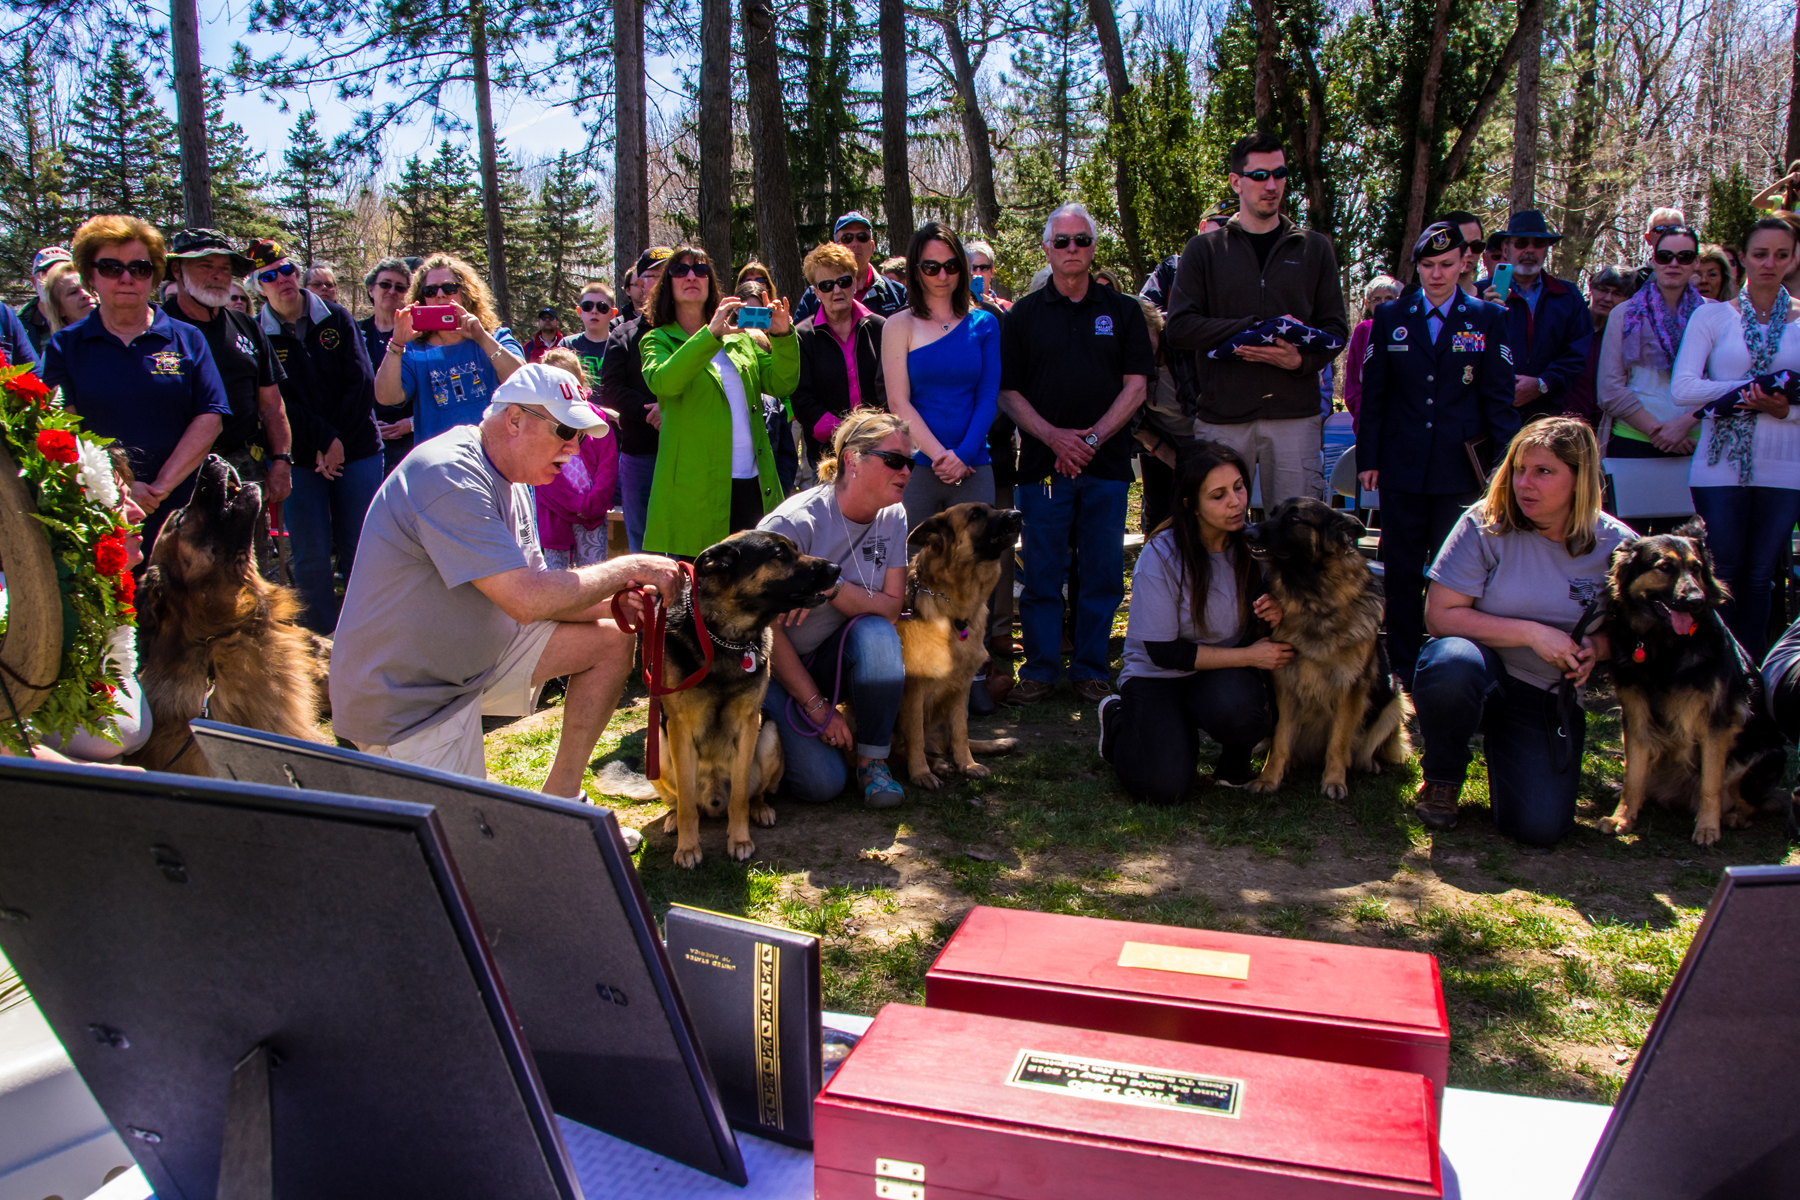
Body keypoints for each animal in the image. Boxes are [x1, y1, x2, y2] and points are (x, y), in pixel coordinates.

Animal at [651, 528, 838, 867]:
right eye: (779, 554)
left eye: (794, 549)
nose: (836, 569)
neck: (726, 637)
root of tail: (713, 800)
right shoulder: (679, 729)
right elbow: (686, 804)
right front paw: (687, 847)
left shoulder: (749, 723)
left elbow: (739, 798)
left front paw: (739, 840)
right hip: (658, 746)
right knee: (682, 801)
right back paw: (673, 819)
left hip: (770, 737)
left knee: (753, 794)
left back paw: (760, 810)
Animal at [892, 500, 1022, 788]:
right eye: (975, 515)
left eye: (993, 507)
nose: (1017, 514)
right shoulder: (914, 690)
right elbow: (915, 736)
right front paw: (921, 773)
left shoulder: (962, 688)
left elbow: (961, 732)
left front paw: (968, 764)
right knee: (902, 748)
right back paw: (936, 764)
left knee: (948, 740)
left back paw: (998, 743)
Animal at [1245, 496, 1411, 798]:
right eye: (1272, 513)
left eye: (1295, 518)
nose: (1247, 533)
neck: (1313, 597)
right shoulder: (1285, 685)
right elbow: (1281, 740)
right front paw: (1269, 778)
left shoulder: (1350, 690)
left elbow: (1339, 741)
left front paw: (1334, 780)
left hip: (1397, 699)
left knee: (1367, 747)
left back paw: (1368, 763)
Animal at [1605, 521, 1785, 849]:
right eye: (1664, 566)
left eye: (1697, 568)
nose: (1696, 600)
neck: (1664, 648)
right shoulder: (1635, 715)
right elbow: (1633, 776)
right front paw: (1621, 817)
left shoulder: (1716, 723)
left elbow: (1710, 783)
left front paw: (1707, 828)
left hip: (1765, 754)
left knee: (1755, 800)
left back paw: (1735, 816)